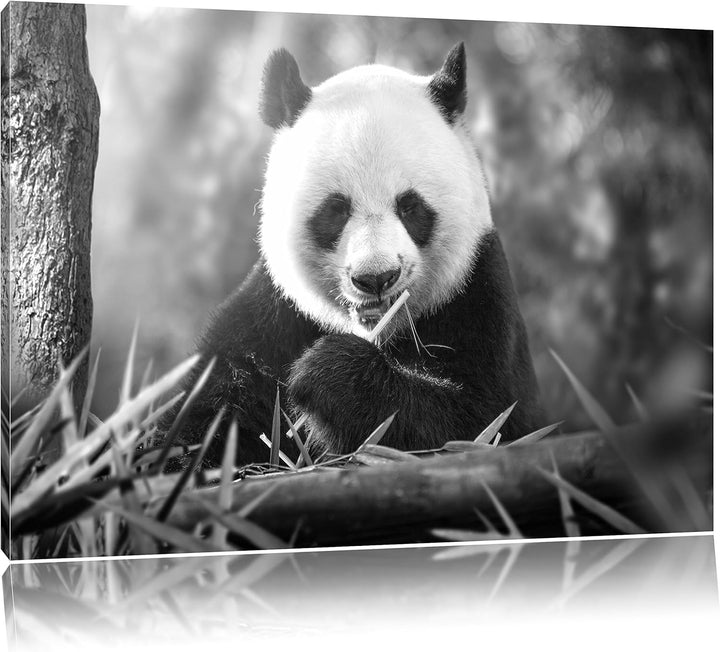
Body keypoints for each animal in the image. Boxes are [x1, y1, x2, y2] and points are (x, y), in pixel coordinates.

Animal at [165, 43, 543, 468]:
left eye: (410, 207)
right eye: (336, 210)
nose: (376, 277)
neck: (378, 332)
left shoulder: (477, 296)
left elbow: (480, 425)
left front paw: (325, 373)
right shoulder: (273, 316)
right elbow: (206, 410)